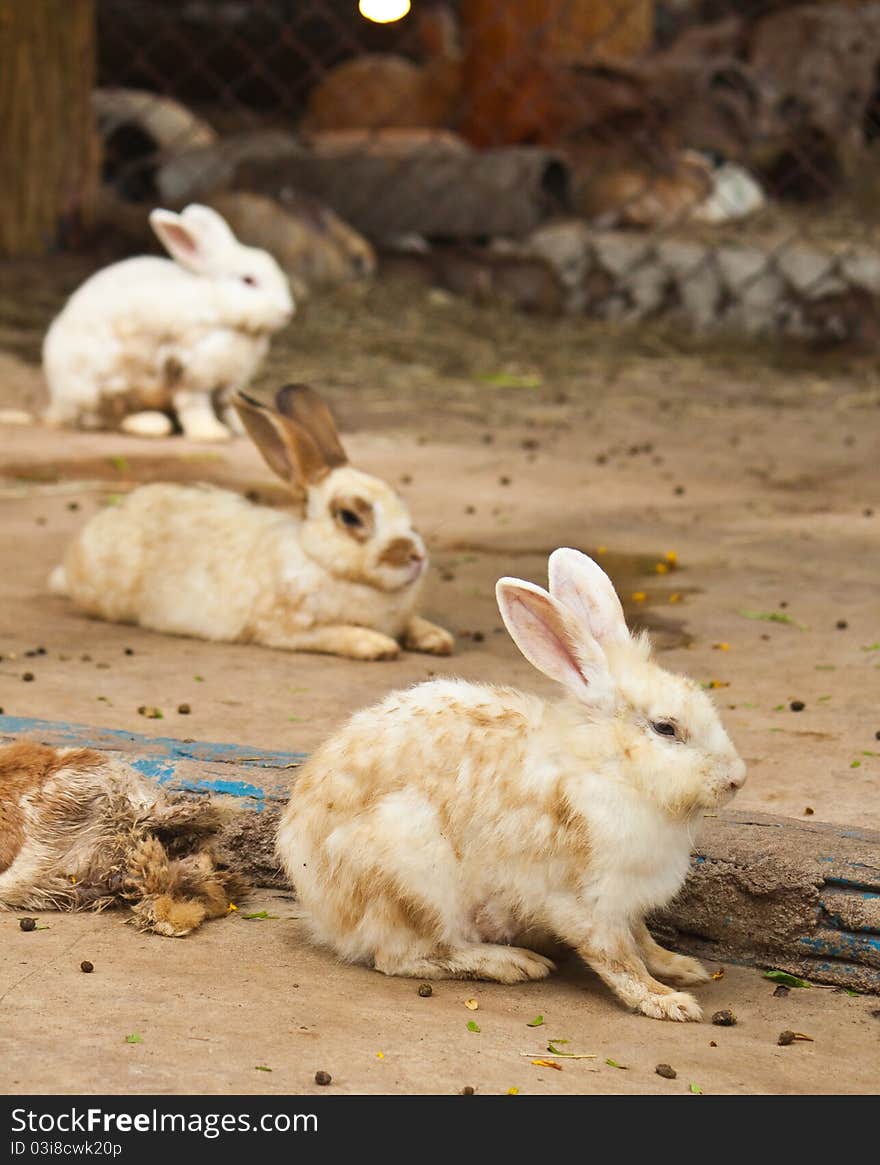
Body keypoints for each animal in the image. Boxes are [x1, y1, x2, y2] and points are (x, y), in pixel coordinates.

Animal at [41, 202, 293, 438]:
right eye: (248, 280)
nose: (287, 311)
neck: (217, 308)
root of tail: (57, 400)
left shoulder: (228, 383)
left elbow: (230, 408)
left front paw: (243, 430)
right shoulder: (191, 373)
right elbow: (195, 405)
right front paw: (210, 433)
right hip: (104, 387)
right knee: (105, 419)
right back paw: (151, 424)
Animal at [49, 379, 454, 661]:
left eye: (400, 499)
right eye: (350, 517)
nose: (417, 556)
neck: (318, 561)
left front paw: (438, 640)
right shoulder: (286, 629)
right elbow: (336, 634)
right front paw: (378, 645)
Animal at [278, 545, 745, 1020]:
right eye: (666, 728)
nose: (736, 780)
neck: (607, 766)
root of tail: (321, 906)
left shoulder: (628, 903)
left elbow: (643, 940)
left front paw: (683, 968)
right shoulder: (588, 902)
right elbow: (618, 958)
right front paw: (667, 1002)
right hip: (411, 879)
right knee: (407, 956)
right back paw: (514, 963)